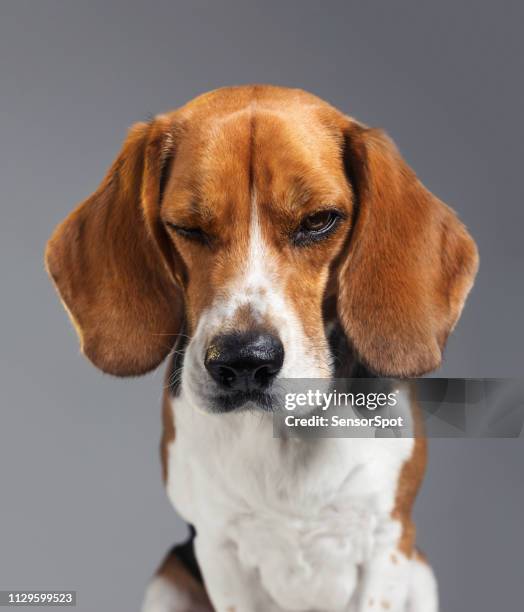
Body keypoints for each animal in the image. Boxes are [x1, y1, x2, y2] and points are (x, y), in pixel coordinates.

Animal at [46, 87, 478, 612]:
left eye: (318, 221)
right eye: (188, 227)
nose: (244, 361)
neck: (288, 432)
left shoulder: (388, 542)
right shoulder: (219, 547)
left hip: (421, 574)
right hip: (167, 581)